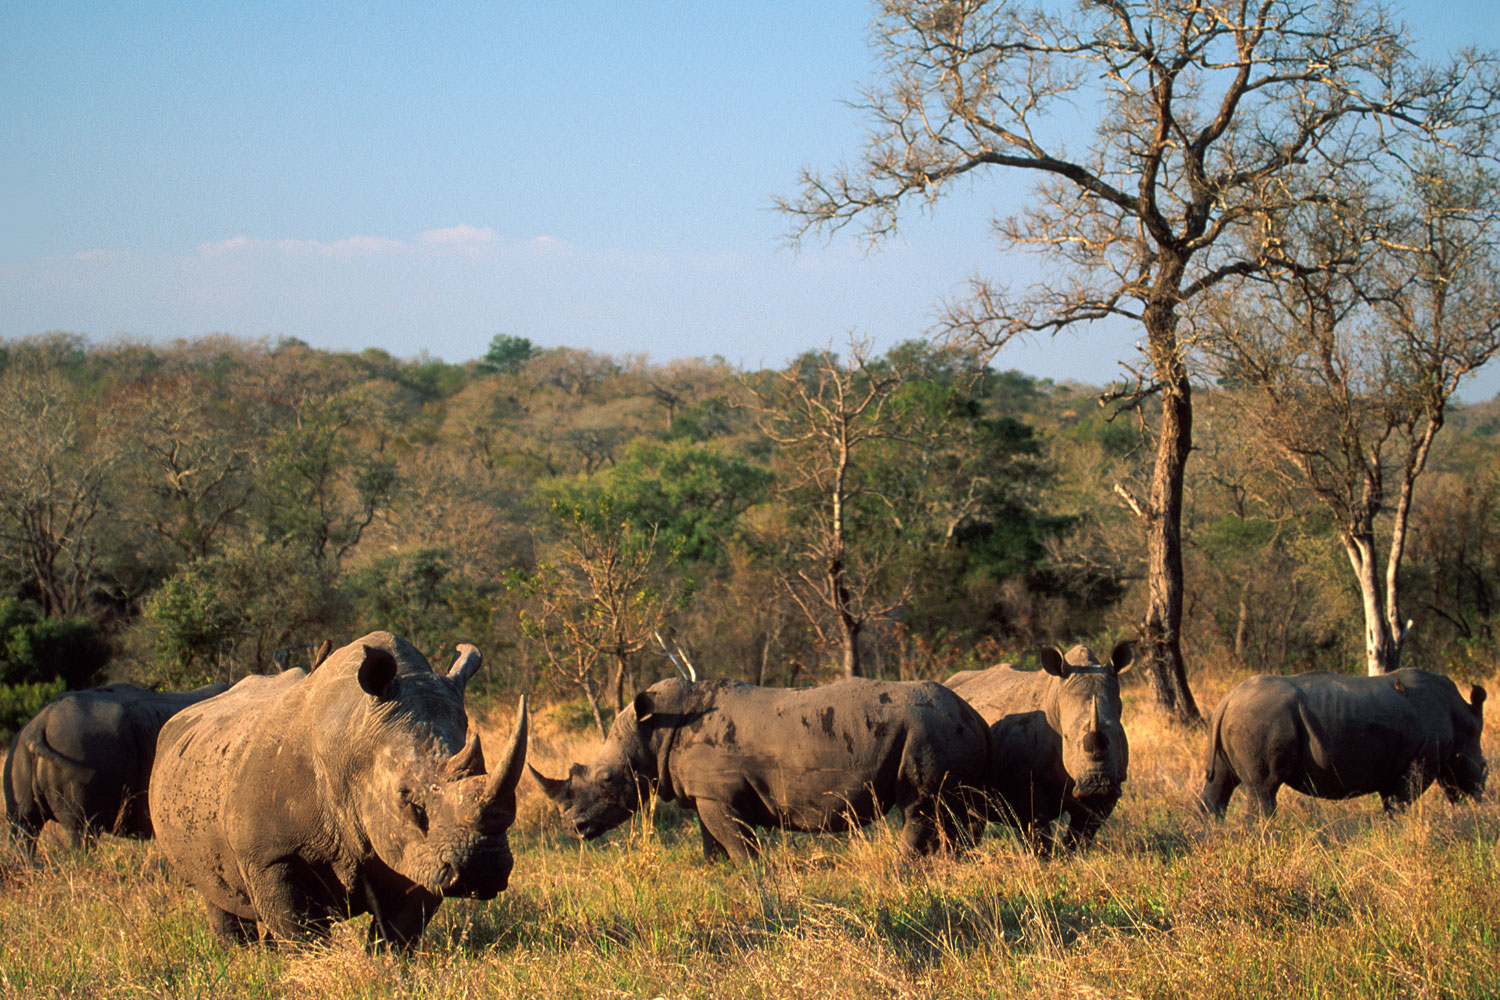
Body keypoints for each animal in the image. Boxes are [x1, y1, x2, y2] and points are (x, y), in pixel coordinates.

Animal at [149, 632, 527, 950]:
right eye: (408, 800)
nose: (483, 869)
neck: (352, 739)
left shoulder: (421, 853)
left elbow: (398, 932)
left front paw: (385, 969)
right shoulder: (269, 855)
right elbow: (302, 936)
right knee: (214, 893)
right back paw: (241, 956)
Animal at [531, 676, 992, 862]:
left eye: (607, 779)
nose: (573, 828)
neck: (655, 731)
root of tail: (974, 715)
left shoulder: (720, 795)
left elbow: (739, 844)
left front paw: (756, 879)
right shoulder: (707, 795)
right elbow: (713, 844)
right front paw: (717, 879)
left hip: (928, 730)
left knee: (921, 805)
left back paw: (904, 868)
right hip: (943, 730)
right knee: (954, 810)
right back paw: (951, 864)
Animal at [944, 641, 1133, 852]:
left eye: (1119, 735)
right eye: (1066, 737)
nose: (1098, 785)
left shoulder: (1113, 782)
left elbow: (1081, 834)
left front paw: (1071, 855)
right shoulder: (1024, 778)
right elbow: (1037, 833)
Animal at [1197, 668, 1487, 818]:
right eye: (1484, 768)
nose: (1479, 799)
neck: (1461, 717)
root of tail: (1227, 700)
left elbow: (1391, 803)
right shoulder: (1422, 761)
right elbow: (1400, 802)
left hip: (1242, 719)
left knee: (1220, 783)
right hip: (1260, 719)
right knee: (1263, 789)